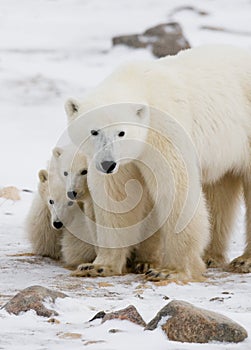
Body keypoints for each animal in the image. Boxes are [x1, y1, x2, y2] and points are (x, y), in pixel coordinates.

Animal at [65, 44, 251, 278]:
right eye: (94, 131)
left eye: (122, 132)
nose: (108, 164)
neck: (141, 85)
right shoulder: (123, 161)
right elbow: (117, 198)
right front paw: (97, 266)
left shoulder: (163, 131)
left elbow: (175, 190)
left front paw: (169, 270)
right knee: (219, 192)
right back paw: (211, 256)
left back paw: (244, 260)